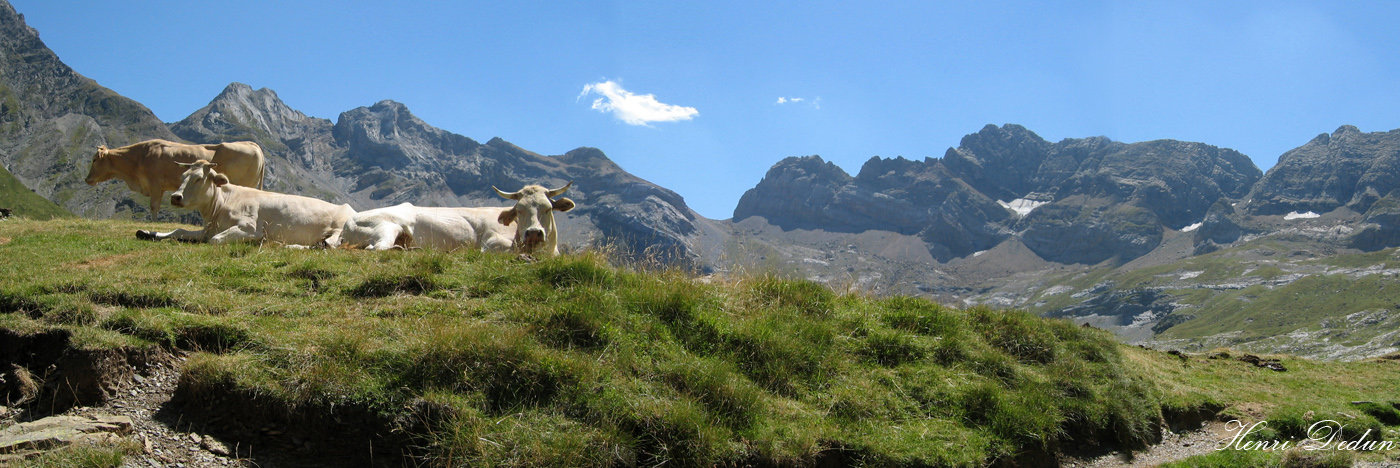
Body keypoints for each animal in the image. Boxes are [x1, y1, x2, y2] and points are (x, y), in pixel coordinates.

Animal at [85, 139, 266, 220]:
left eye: (94, 160)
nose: (87, 179)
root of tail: (252, 144)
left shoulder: (156, 184)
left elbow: (154, 206)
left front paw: (153, 224)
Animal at [135, 160, 354, 247]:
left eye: (198, 178)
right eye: (182, 176)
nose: (175, 197)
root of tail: (348, 207)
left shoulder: (249, 227)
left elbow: (215, 240)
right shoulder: (208, 229)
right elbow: (179, 230)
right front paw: (146, 232)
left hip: (339, 227)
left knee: (330, 244)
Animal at [340, 182, 576, 255]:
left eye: (548, 208)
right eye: (519, 210)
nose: (534, 233)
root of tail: (348, 223)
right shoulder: (490, 243)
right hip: (387, 228)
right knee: (377, 248)